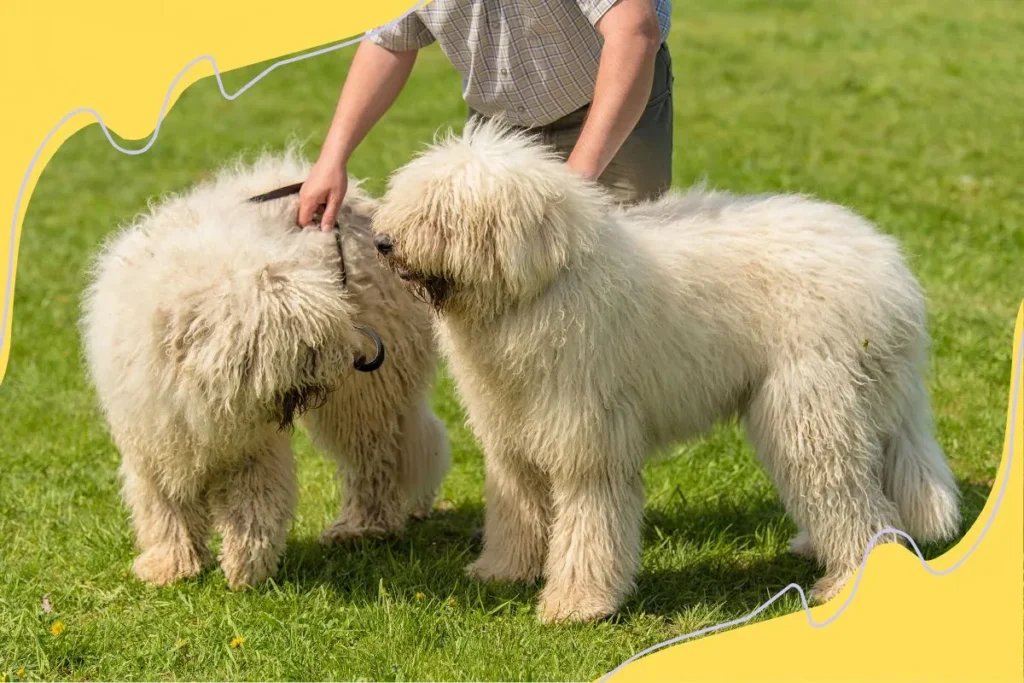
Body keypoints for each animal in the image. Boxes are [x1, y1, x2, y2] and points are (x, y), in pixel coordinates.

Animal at [79, 152, 448, 589]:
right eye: (292, 347)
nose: (337, 363)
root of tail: (360, 203)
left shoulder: (252, 448)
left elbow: (253, 507)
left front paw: (245, 570)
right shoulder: (158, 440)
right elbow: (167, 508)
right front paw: (172, 565)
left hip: (365, 397)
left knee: (374, 459)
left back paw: (363, 527)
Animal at [372, 118, 962, 626]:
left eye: (442, 213)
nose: (382, 243)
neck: (543, 286)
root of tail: (889, 268)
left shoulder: (589, 439)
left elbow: (588, 523)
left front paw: (576, 606)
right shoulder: (512, 433)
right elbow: (516, 508)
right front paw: (502, 572)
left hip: (813, 409)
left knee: (849, 496)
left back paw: (846, 580)